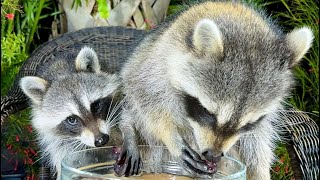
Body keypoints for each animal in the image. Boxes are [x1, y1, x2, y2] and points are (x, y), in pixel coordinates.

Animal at [116, 0, 314, 179]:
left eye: (248, 124)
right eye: (207, 111)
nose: (213, 155)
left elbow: (257, 139)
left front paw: (259, 170)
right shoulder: (155, 60)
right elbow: (143, 94)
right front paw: (170, 134)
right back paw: (129, 131)